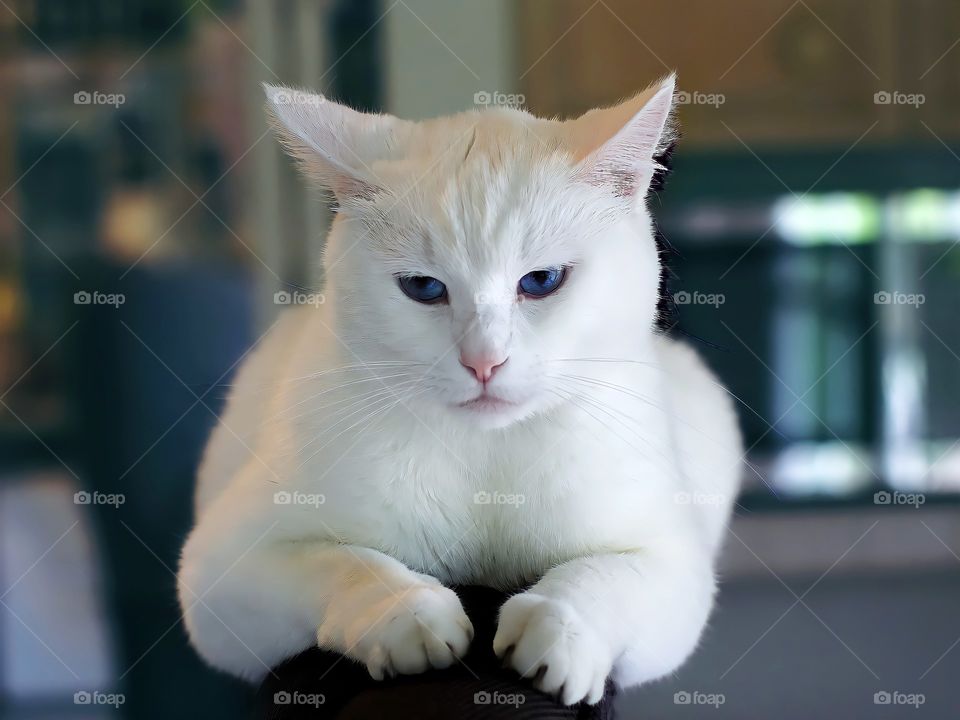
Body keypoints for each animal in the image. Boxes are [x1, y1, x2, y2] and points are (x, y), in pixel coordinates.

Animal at [180, 76, 748, 704]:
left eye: (542, 281)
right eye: (424, 287)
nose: (484, 362)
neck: (485, 459)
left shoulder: (673, 559)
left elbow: (605, 576)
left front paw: (557, 630)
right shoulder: (222, 569)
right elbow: (345, 565)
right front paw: (408, 616)